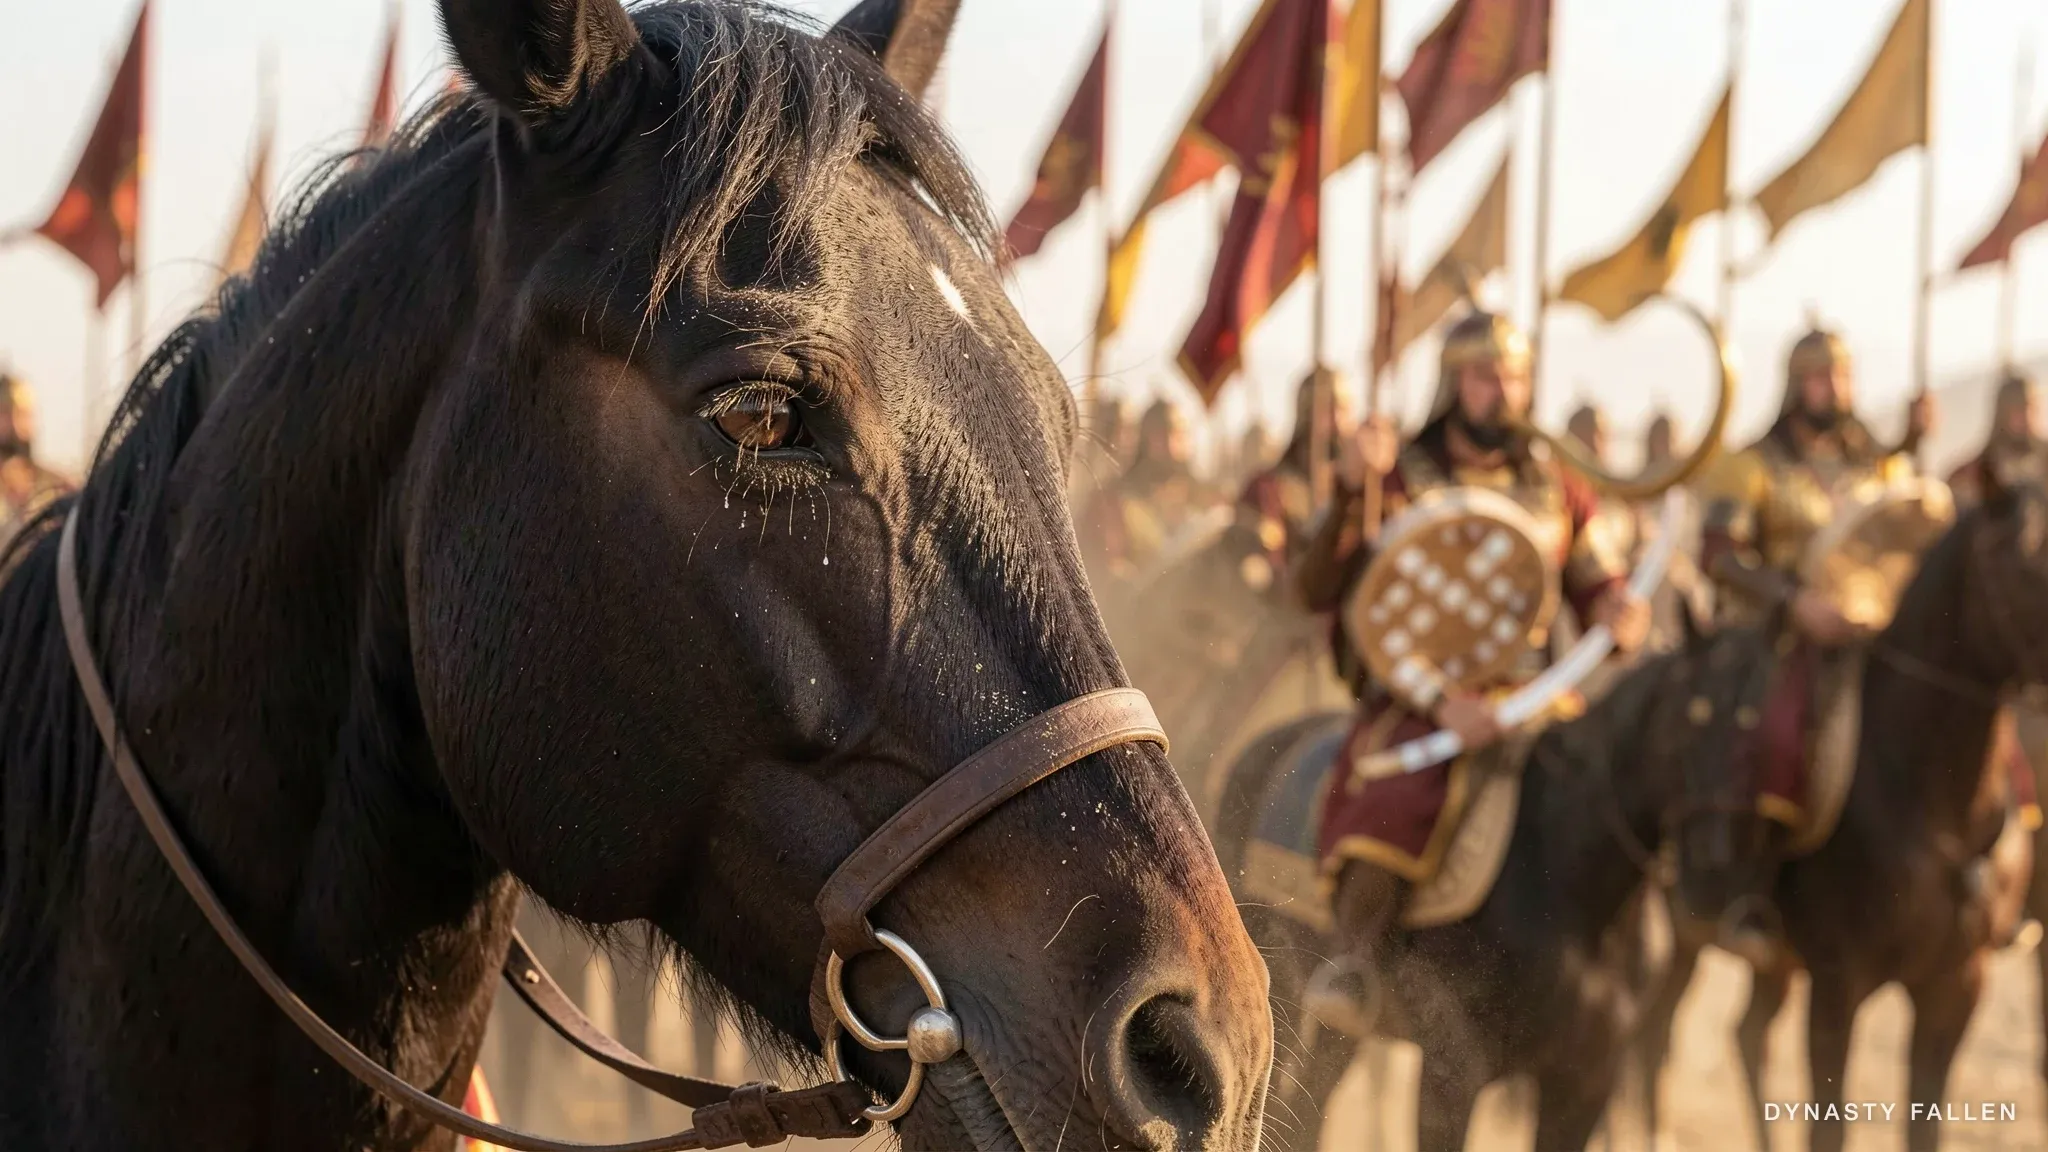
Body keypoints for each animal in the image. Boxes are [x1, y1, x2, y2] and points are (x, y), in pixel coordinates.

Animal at [1629, 471, 2048, 1152]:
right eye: (2027, 564)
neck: (1938, 813)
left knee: (1745, 1032)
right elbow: (1830, 1121)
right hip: (1683, 932)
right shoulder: (1836, 984)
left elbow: (1923, 1119)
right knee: (1653, 1033)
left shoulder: (1957, 986)